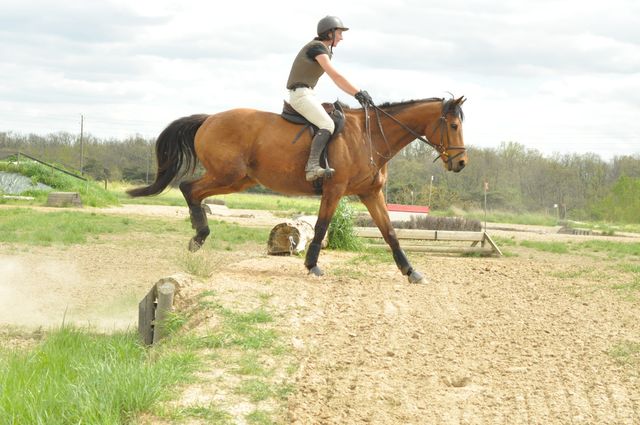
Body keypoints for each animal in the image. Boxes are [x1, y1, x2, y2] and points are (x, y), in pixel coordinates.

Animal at [127, 96, 467, 284]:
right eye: (453, 126)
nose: (461, 163)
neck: (370, 137)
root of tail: (209, 119)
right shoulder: (334, 189)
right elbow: (321, 227)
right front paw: (312, 265)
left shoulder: (371, 193)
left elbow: (390, 232)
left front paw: (411, 272)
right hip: (230, 174)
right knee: (189, 188)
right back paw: (199, 235)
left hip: (240, 179)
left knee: (194, 191)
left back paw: (198, 235)